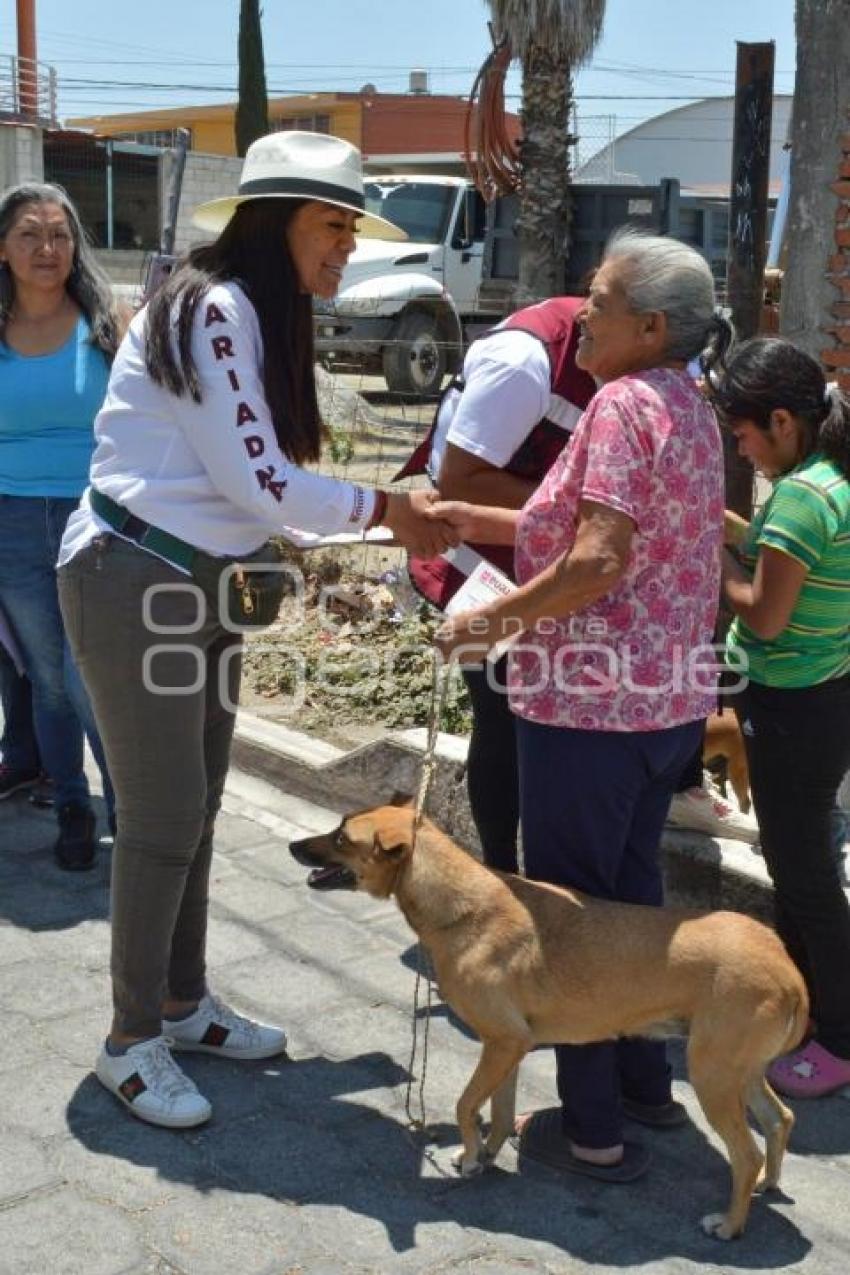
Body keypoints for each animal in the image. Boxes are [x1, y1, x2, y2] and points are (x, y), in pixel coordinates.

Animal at [289, 800, 810, 1239]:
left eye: (342, 838)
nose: (295, 848)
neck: (463, 907)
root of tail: (787, 968)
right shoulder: (507, 1047)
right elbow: (497, 1113)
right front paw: (484, 1156)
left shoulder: (502, 1044)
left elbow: (464, 1105)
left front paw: (472, 1155)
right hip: (739, 1072)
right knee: (779, 1119)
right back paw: (768, 1185)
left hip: (712, 1076)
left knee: (746, 1153)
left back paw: (730, 1224)